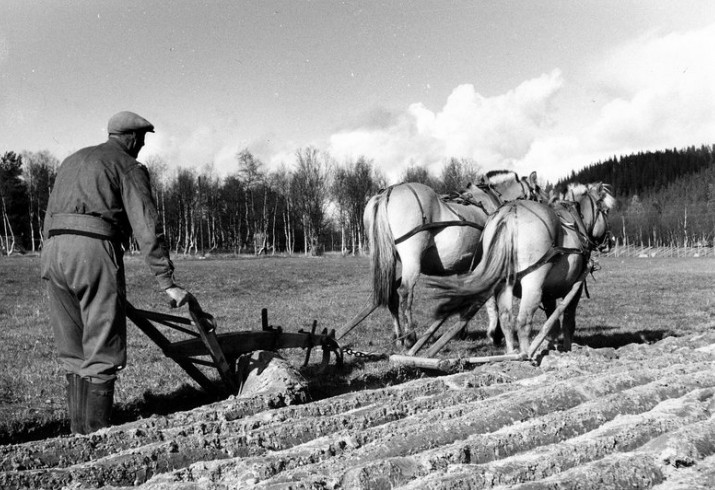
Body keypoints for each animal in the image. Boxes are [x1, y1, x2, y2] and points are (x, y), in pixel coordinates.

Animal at [364, 170, 544, 346]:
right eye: (538, 195)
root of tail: (387, 192)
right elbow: (491, 300)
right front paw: (495, 333)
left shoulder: (464, 266)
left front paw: (463, 330)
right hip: (411, 258)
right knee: (405, 293)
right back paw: (410, 338)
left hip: (389, 261)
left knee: (392, 295)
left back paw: (398, 336)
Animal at [428, 183, 620, 356]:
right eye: (605, 210)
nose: (610, 241)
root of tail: (510, 212)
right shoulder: (575, 287)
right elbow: (567, 322)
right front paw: (566, 349)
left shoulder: (548, 294)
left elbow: (552, 324)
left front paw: (552, 347)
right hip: (532, 282)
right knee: (523, 320)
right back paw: (525, 355)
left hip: (504, 284)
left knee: (506, 319)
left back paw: (511, 353)